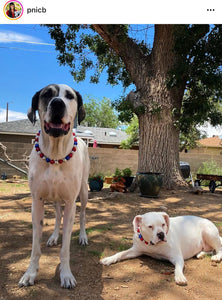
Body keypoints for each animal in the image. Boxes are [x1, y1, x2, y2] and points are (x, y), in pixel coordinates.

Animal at [18, 84, 89, 288]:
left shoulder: (71, 202)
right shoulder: (37, 201)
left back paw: (83, 236)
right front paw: (30, 273)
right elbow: (35, 247)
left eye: (70, 96)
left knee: (82, 215)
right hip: (54, 197)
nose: (57, 103)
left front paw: (66, 275)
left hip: (83, 192)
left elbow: (65, 249)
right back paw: (54, 236)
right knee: (58, 215)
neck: (56, 154)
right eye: (46, 94)